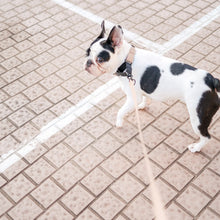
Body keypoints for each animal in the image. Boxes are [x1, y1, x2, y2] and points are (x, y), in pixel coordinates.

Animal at [85, 21, 219, 153]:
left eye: (100, 59)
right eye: (87, 53)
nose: (88, 62)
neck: (127, 61)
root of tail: (211, 80)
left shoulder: (132, 97)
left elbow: (120, 111)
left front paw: (119, 122)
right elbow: (145, 98)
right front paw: (142, 105)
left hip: (198, 118)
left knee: (206, 136)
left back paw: (196, 148)